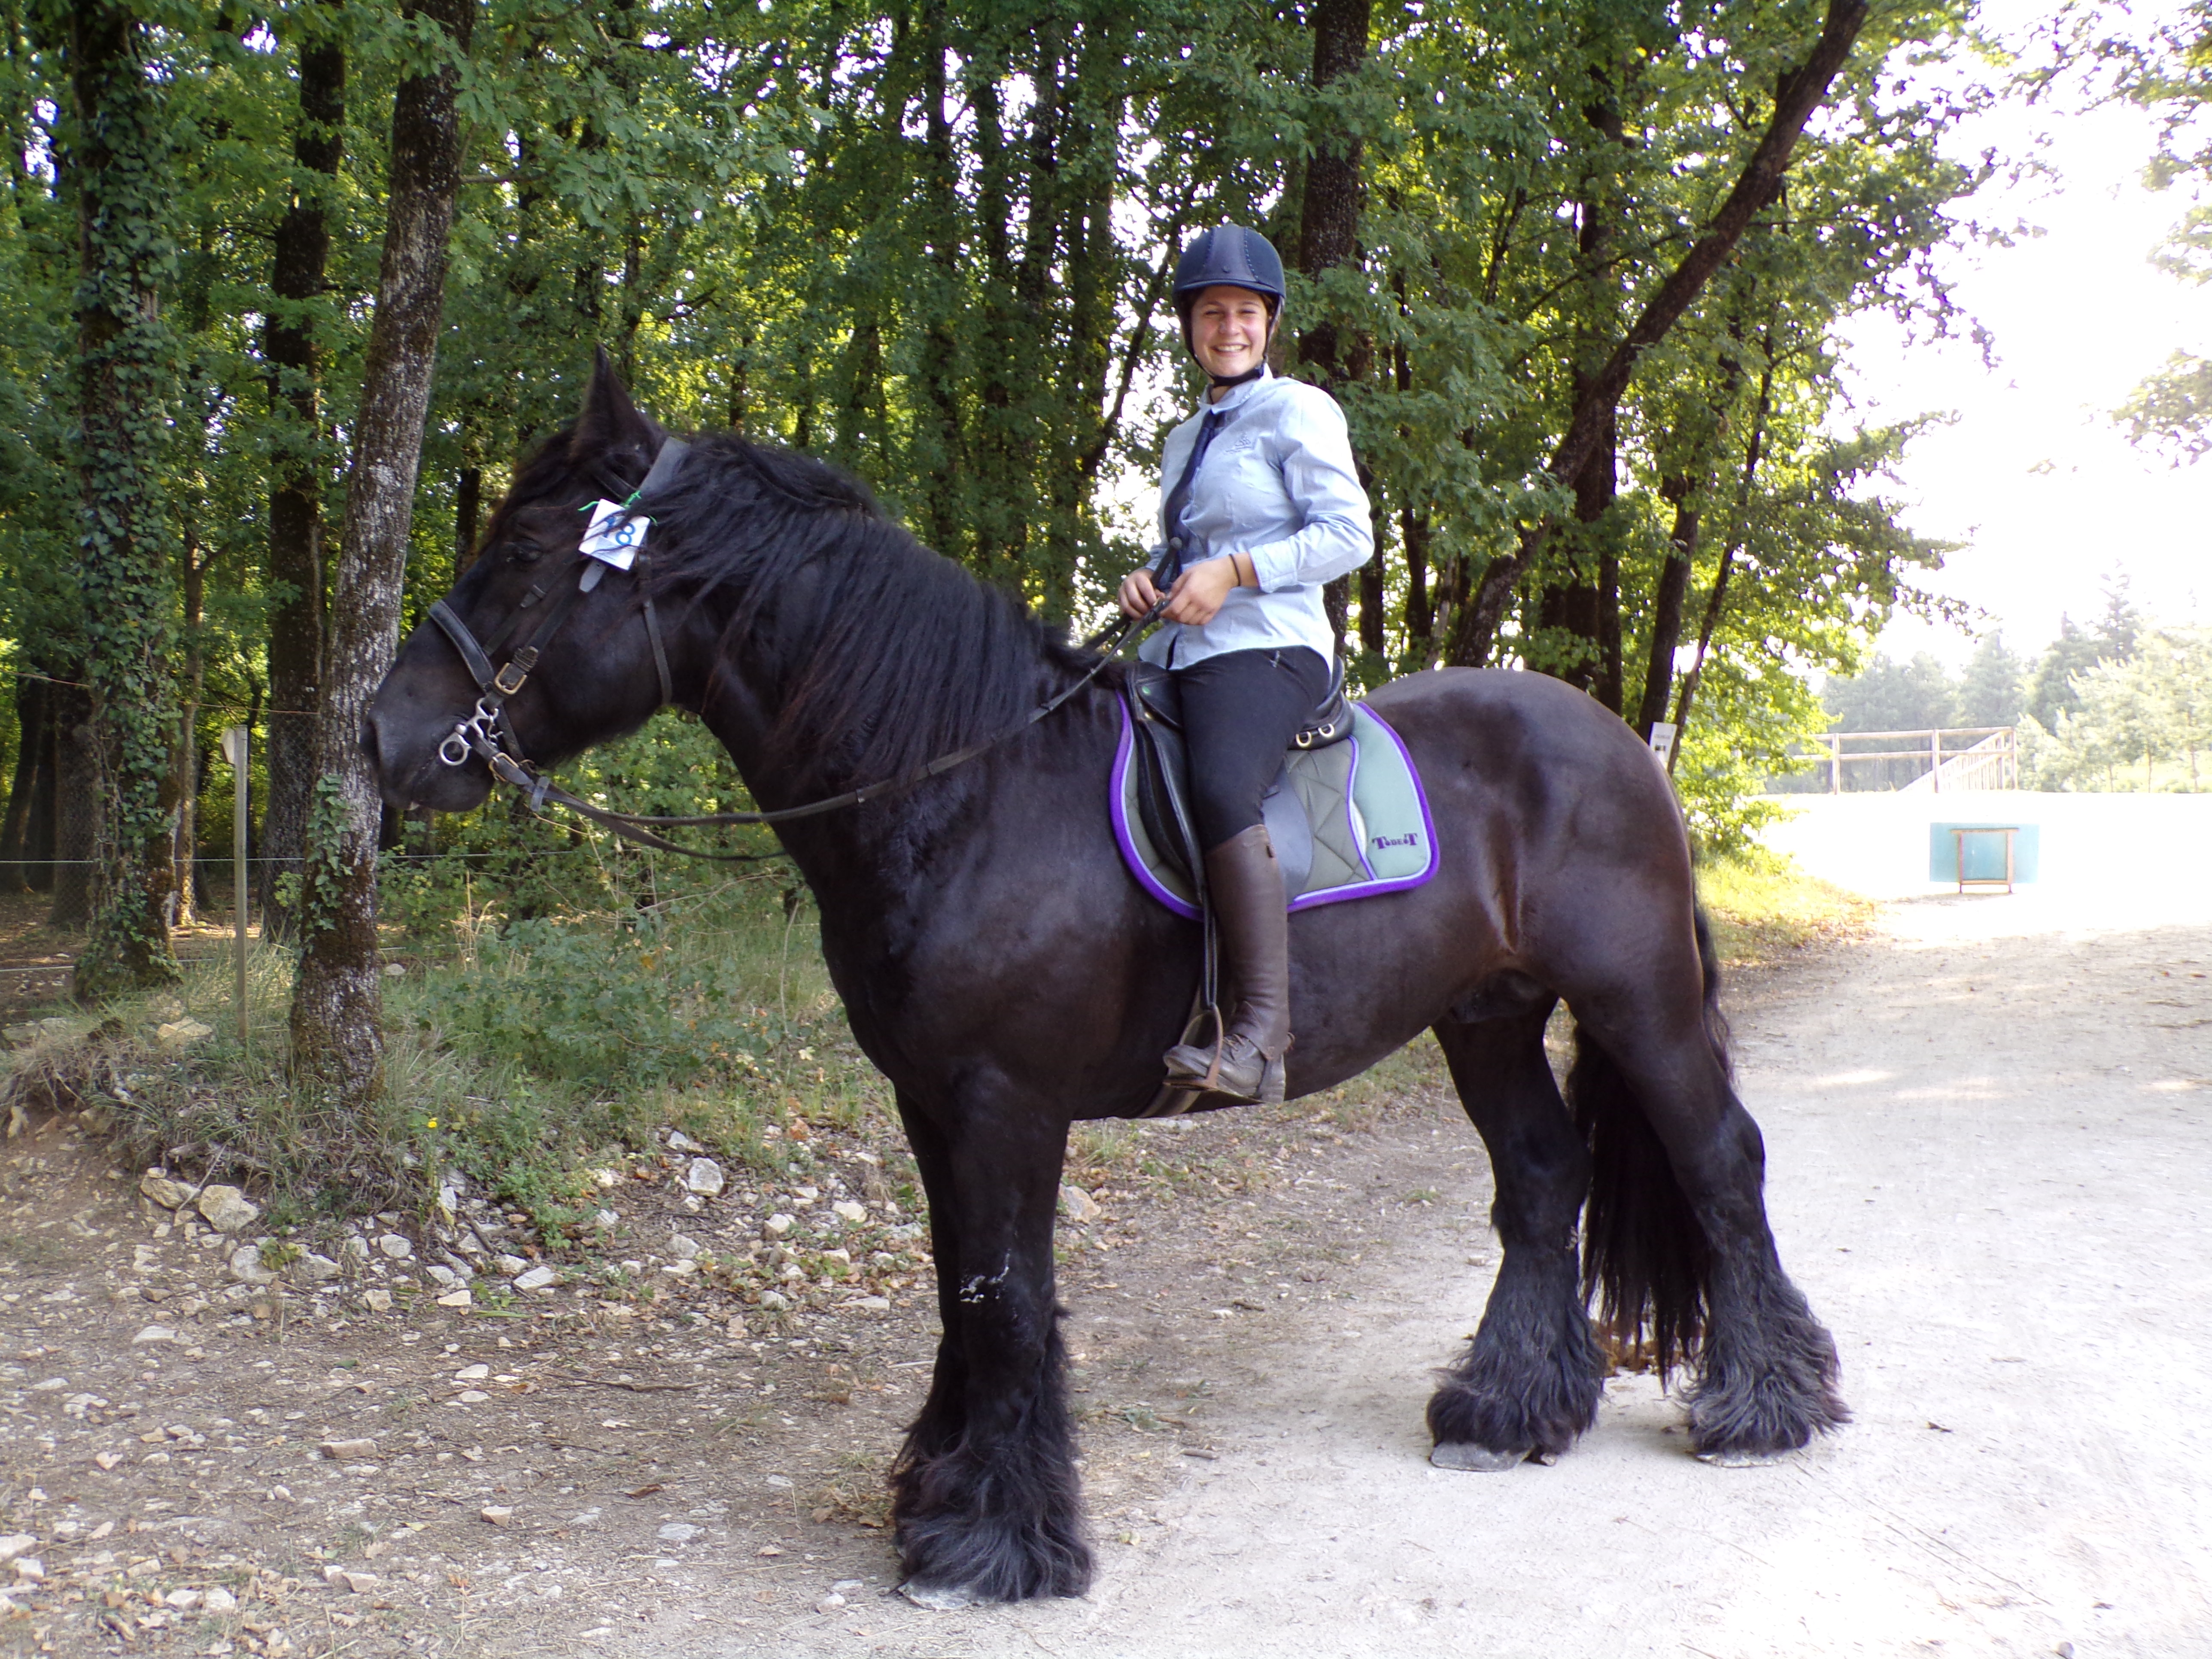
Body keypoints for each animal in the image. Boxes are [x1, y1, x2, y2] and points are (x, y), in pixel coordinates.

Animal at [367, 360, 1849, 1610]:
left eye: (523, 556)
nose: (384, 738)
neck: (961, 786)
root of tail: (1618, 736)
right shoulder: (930, 1103)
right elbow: (961, 1286)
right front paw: (944, 1498)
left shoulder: (1005, 1102)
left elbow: (1008, 1297)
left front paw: (993, 1542)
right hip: (1484, 1016)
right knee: (1544, 1181)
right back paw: (1506, 1413)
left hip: (1639, 1000)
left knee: (1720, 1163)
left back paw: (1762, 1409)